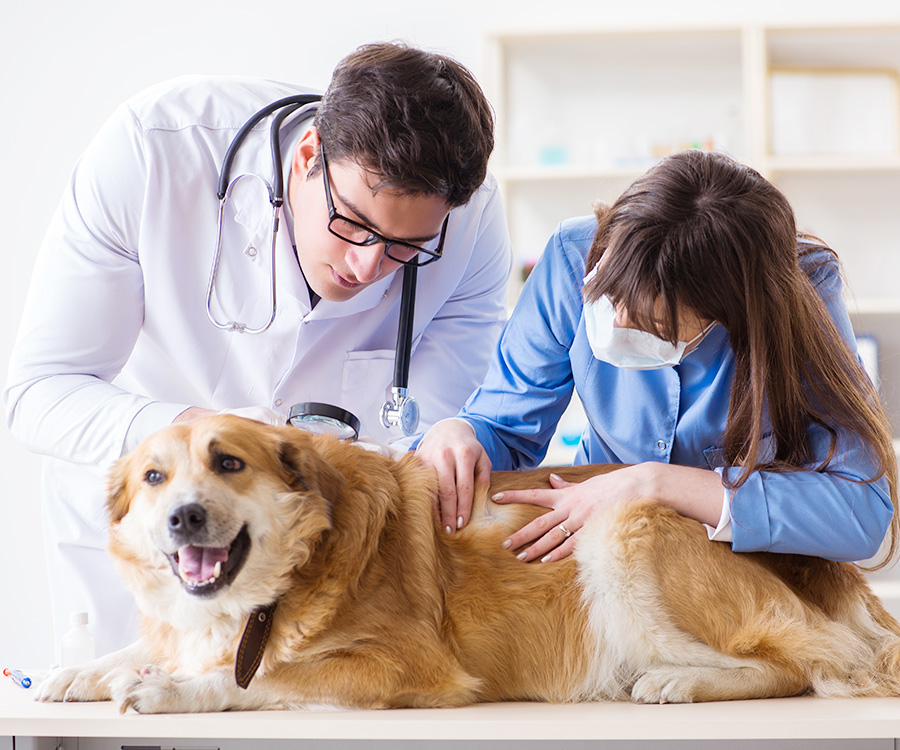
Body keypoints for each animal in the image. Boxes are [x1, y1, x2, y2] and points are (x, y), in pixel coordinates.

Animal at [38, 418, 900, 716]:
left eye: (227, 462)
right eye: (154, 477)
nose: (184, 516)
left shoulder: (407, 668)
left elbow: (262, 676)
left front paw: (171, 688)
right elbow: (151, 642)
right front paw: (84, 670)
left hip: (620, 528)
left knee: (804, 664)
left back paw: (679, 683)